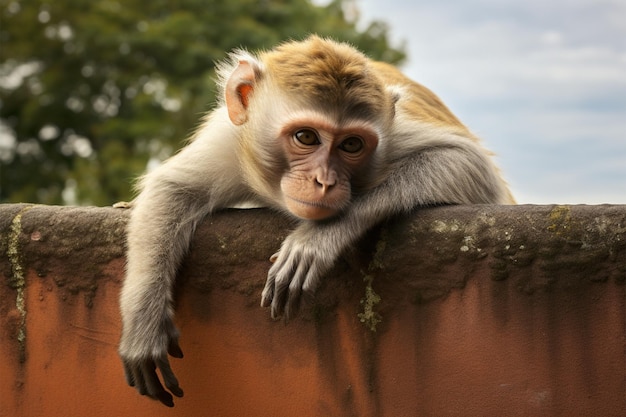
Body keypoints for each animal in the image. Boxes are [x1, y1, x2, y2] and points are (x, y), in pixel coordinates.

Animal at [117, 35, 512, 406]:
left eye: (351, 145)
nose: (324, 181)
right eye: (306, 137)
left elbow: (467, 162)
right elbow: (173, 187)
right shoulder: (230, 138)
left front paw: (315, 240)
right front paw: (144, 322)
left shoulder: (395, 136)